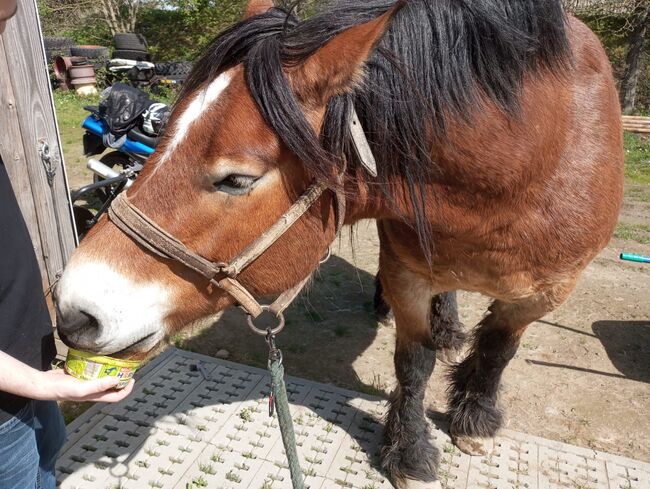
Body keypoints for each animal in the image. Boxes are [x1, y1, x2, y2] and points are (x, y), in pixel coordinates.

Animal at [55, 1, 624, 486]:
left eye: (236, 180)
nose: (73, 313)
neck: (526, 159)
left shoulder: (546, 291)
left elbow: (499, 349)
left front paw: (474, 421)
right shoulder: (409, 269)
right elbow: (414, 361)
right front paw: (411, 453)